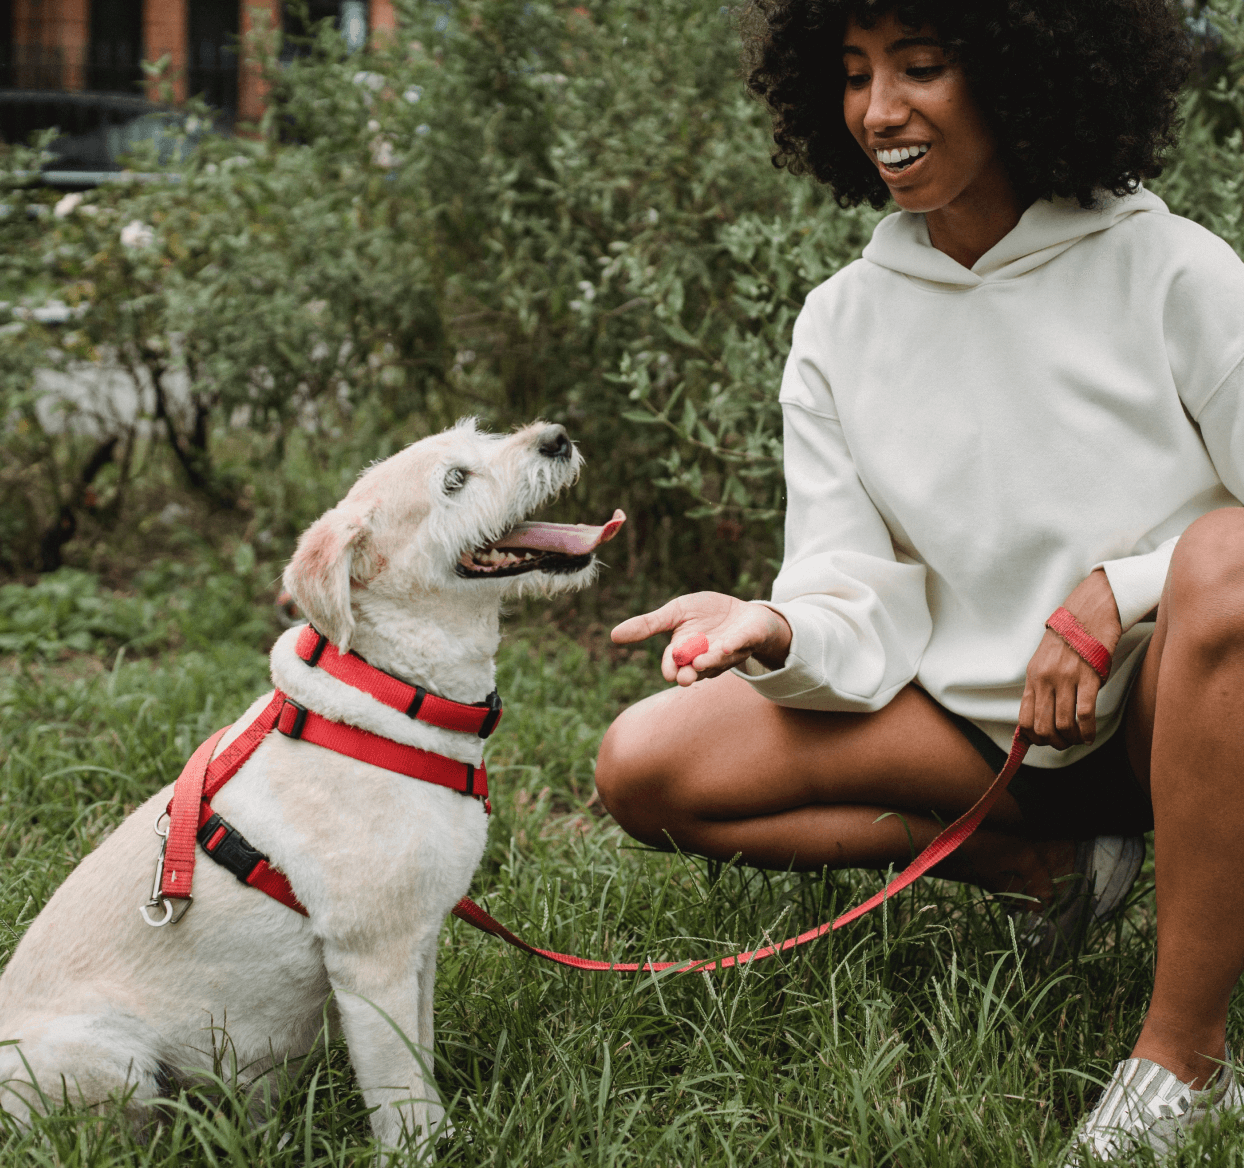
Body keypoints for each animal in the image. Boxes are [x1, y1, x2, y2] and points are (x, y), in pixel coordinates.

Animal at [0, 417, 622, 1139]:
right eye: (453, 481)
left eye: (483, 435)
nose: (557, 436)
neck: (393, 696)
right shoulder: (371, 962)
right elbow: (402, 1095)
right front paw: (422, 1147)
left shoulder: (420, 946)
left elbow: (423, 1060)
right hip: (111, 1057)